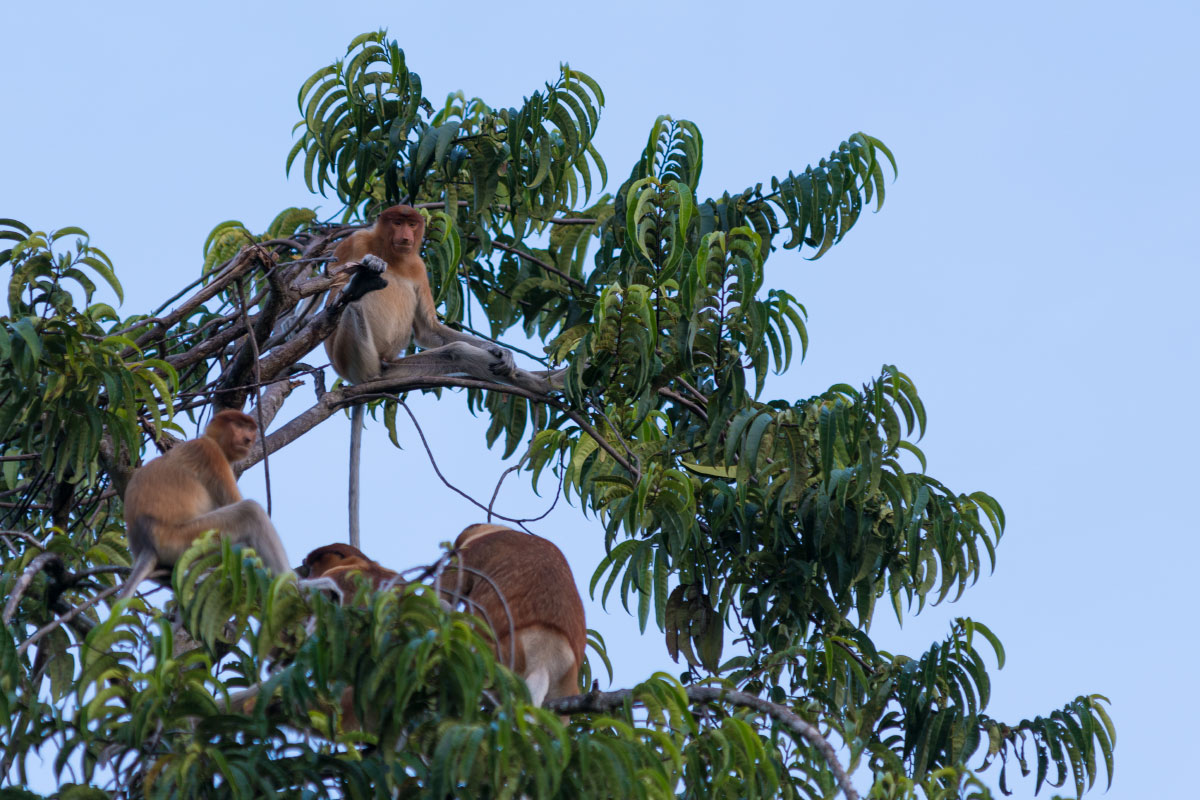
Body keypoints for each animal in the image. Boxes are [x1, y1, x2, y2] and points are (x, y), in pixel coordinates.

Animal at [117, 409, 291, 600]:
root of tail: (146, 543)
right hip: (183, 539)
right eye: (238, 425)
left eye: (251, 429)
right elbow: (235, 502)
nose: (248, 439)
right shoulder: (210, 452)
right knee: (250, 511)